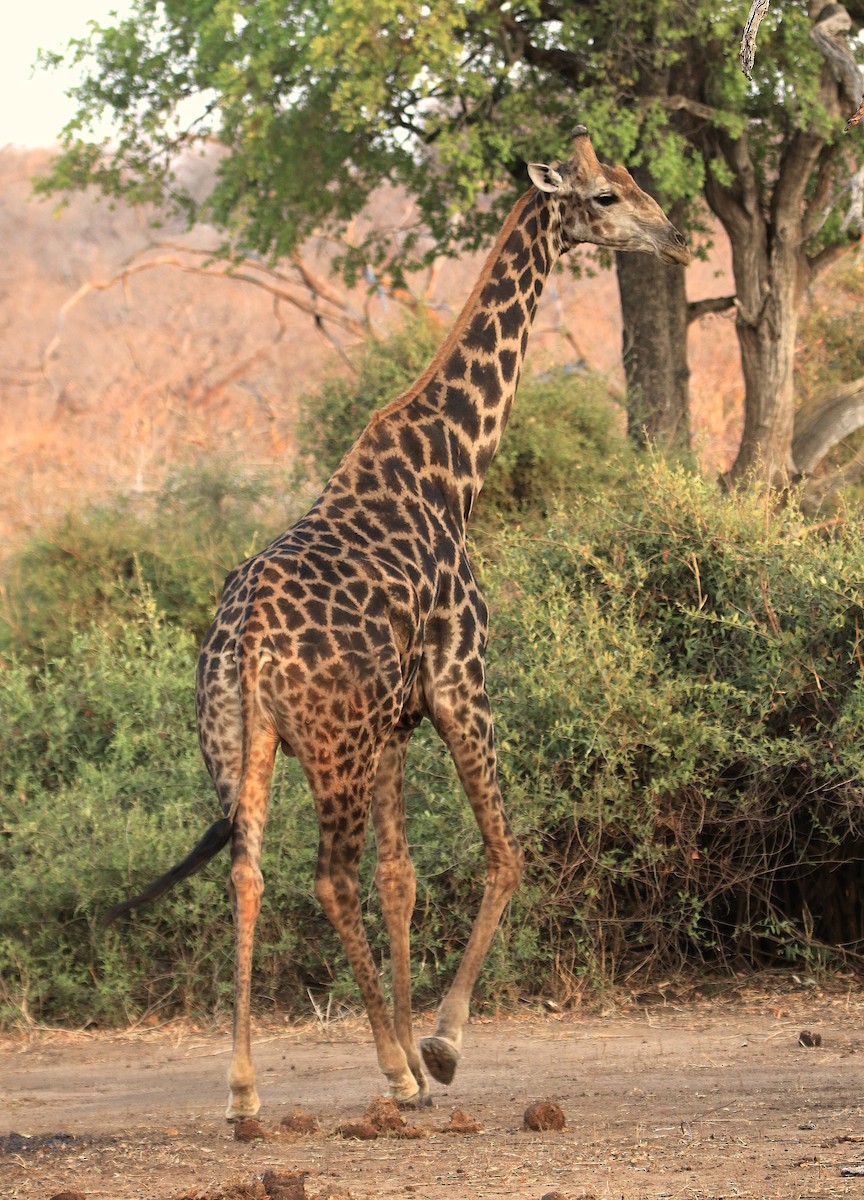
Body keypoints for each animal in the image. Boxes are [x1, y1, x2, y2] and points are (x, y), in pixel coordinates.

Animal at [103, 127, 690, 1119]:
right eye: (607, 195)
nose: (674, 235)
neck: (454, 465)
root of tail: (246, 646)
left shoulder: (396, 727)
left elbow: (401, 880)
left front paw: (417, 1047)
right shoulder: (460, 685)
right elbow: (502, 854)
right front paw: (438, 1049)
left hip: (243, 743)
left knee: (250, 871)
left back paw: (245, 1090)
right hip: (336, 747)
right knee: (328, 878)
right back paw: (391, 1071)